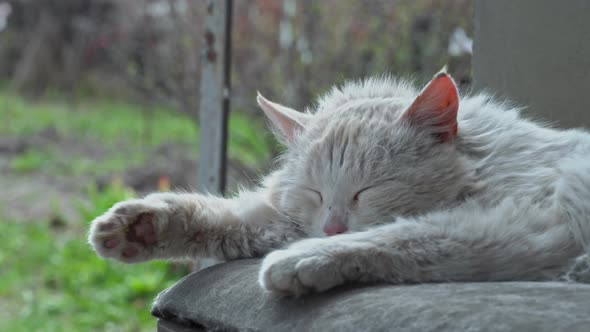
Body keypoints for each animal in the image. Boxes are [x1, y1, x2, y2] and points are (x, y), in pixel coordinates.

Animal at [88, 71, 590, 294]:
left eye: (368, 190)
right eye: (315, 193)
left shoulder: (534, 222)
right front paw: (140, 226)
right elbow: (230, 217)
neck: (486, 164)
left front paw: (304, 261)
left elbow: (409, 236)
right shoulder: (288, 218)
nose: (330, 227)